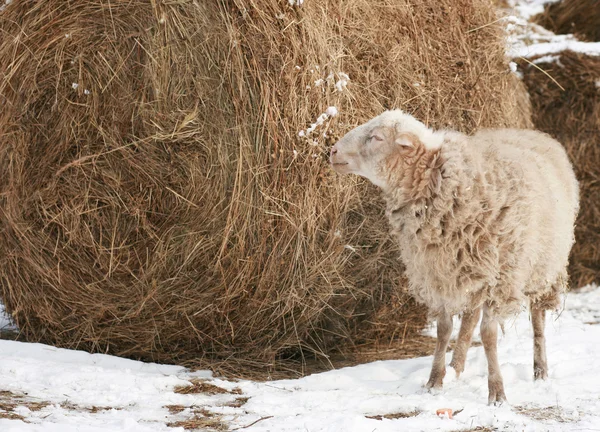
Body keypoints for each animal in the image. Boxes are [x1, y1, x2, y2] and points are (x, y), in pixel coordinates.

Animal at [330, 109, 580, 404]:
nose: (332, 151)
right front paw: (434, 381)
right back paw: (457, 365)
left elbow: (488, 335)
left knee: (538, 319)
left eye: (377, 137)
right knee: (470, 317)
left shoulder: (499, 279)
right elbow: (444, 330)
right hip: (470, 271)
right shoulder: (439, 274)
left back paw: (540, 370)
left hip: (542, 267)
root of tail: (531, 132)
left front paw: (497, 393)